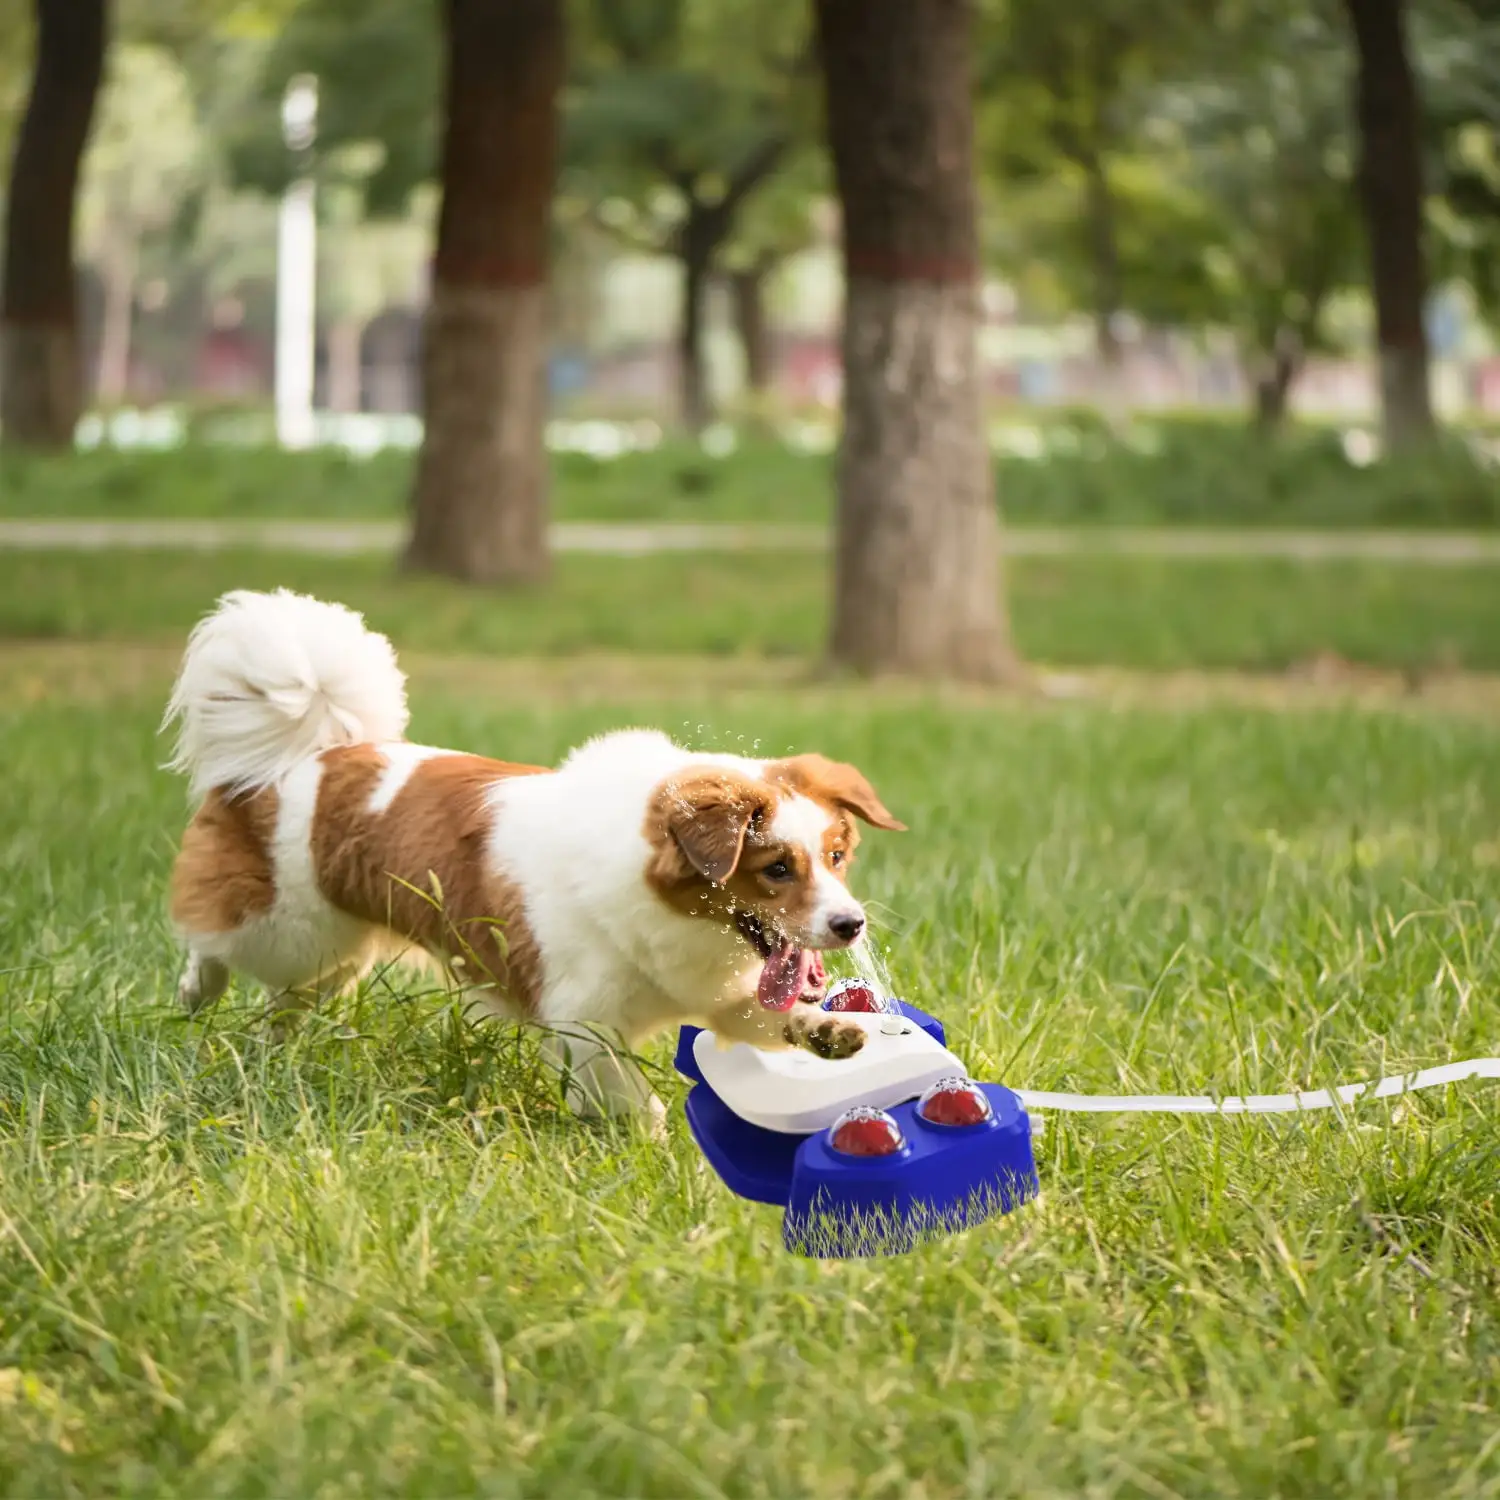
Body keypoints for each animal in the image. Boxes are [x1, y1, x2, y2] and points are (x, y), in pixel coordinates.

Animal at [164, 585, 900, 1128]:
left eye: (837, 856)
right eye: (775, 868)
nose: (851, 925)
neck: (674, 916)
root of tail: (307, 756)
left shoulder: (714, 994)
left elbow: (773, 1014)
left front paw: (829, 1032)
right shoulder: (583, 1019)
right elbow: (634, 1099)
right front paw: (655, 1147)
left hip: (333, 956)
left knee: (283, 1004)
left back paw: (270, 1051)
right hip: (289, 930)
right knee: (213, 940)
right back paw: (196, 995)